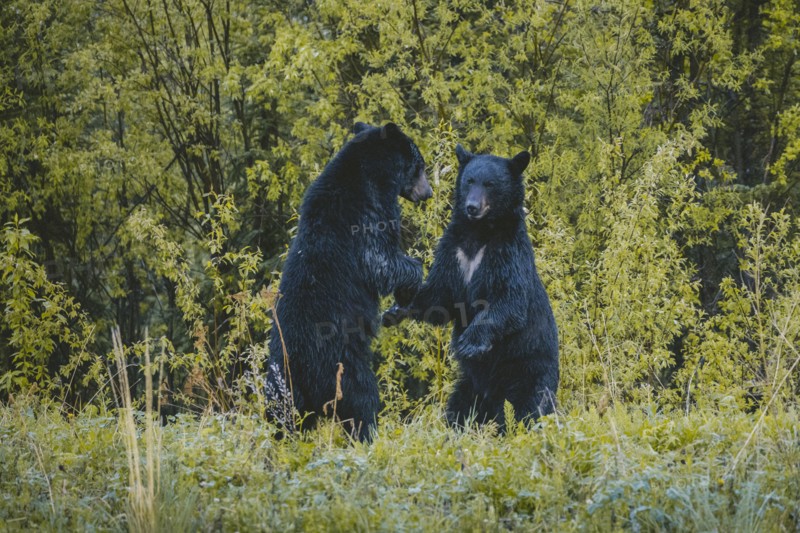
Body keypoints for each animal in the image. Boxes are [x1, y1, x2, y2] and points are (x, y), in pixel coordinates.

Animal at [265, 122, 432, 443]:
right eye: (420, 165)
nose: (428, 192)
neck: (371, 174)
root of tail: (301, 367)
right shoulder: (367, 214)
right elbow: (381, 261)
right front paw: (409, 287)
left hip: (282, 385)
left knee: (281, 416)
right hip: (342, 365)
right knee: (361, 400)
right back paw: (369, 434)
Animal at [383, 144, 558, 432]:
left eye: (490, 184)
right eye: (469, 181)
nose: (472, 206)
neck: (479, 232)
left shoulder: (507, 254)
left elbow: (509, 301)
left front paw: (469, 342)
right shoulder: (453, 251)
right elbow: (440, 296)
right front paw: (395, 310)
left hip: (528, 370)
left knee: (532, 406)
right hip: (469, 384)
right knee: (460, 407)